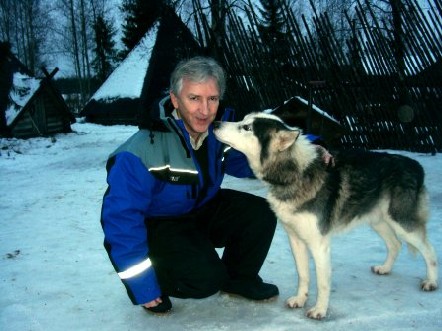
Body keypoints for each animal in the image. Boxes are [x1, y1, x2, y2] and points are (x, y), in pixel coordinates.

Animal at [214, 113, 438, 320]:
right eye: (243, 119)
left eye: (247, 127)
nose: (215, 123)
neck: (296, 173)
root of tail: (416, 165)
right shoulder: (295, 239)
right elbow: (303, 275)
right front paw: (300, 299)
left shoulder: (319, 244)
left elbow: (322, 283)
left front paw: (319, 310)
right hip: (379, 220)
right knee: (395, 244)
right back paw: (385, 268)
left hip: (402, 223)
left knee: (430, 251)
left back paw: (431, 282)